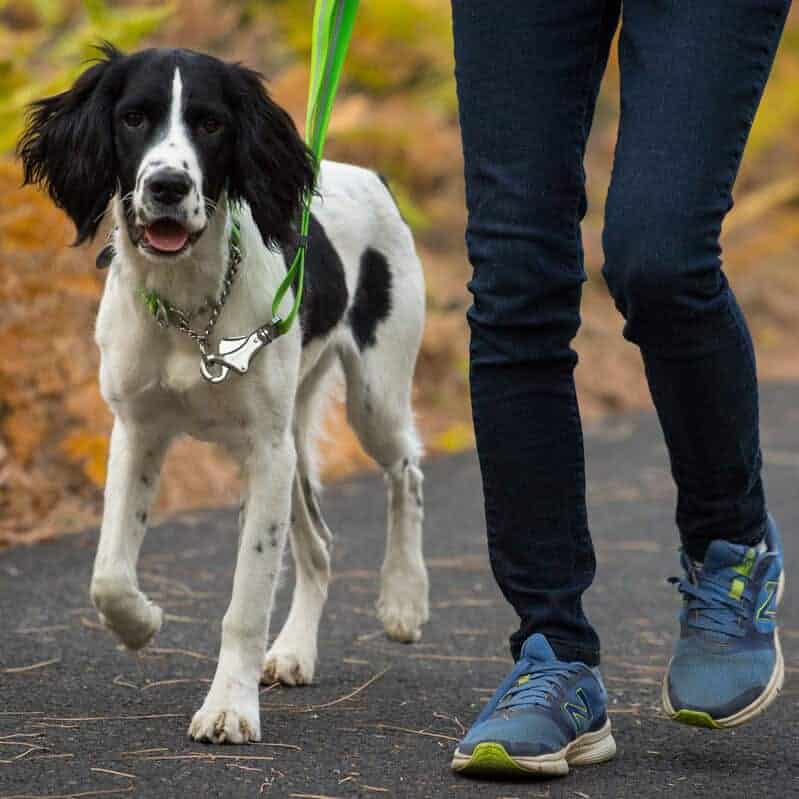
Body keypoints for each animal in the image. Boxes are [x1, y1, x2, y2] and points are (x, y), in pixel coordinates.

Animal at [17, 42, 432, 744]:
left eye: (211, 124)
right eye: (133, 117)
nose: (167, 186)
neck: (191, 307)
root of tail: (368, 174)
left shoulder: (264, 452)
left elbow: (244, 603)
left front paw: (229, 709)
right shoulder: (138, 431)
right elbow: (108, 576)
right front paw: (142, 623)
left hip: (370, 398)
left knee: (406, 469)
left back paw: (404, 596)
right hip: (293, 439)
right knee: (320, 544)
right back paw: (295, 651)